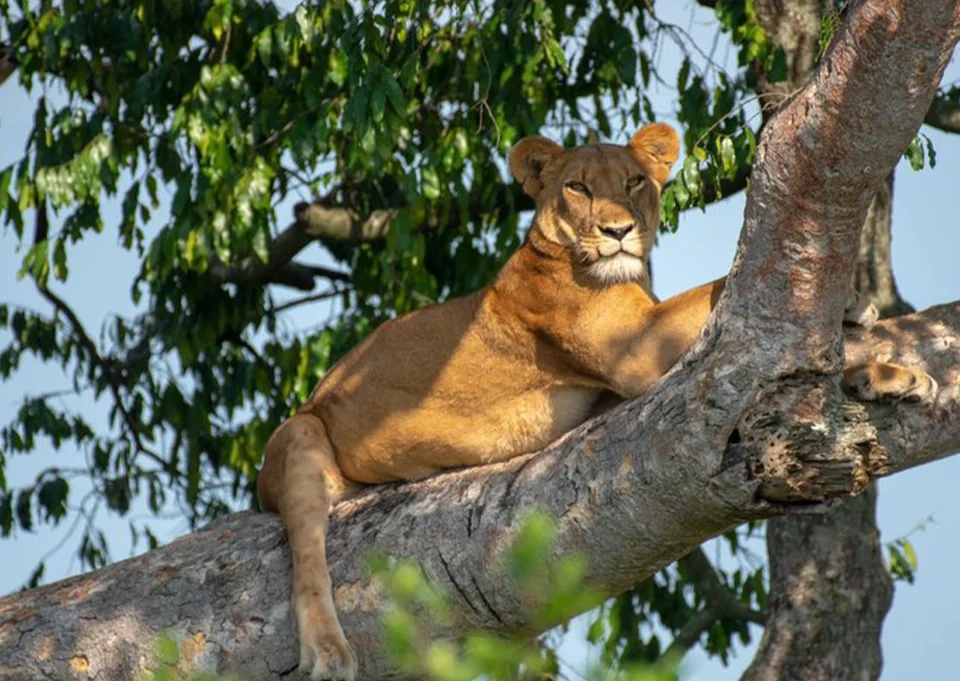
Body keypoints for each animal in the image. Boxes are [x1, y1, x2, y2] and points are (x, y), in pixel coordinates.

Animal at [257, 122, 937, 680]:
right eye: (579, 188)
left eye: (635, 181)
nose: (618, 231)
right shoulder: (640, 352)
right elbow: (719, 292)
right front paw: (854, 306)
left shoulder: (621, 394)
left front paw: (888, 374)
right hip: (299, 434)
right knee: (307, 560)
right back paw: (329, 651)